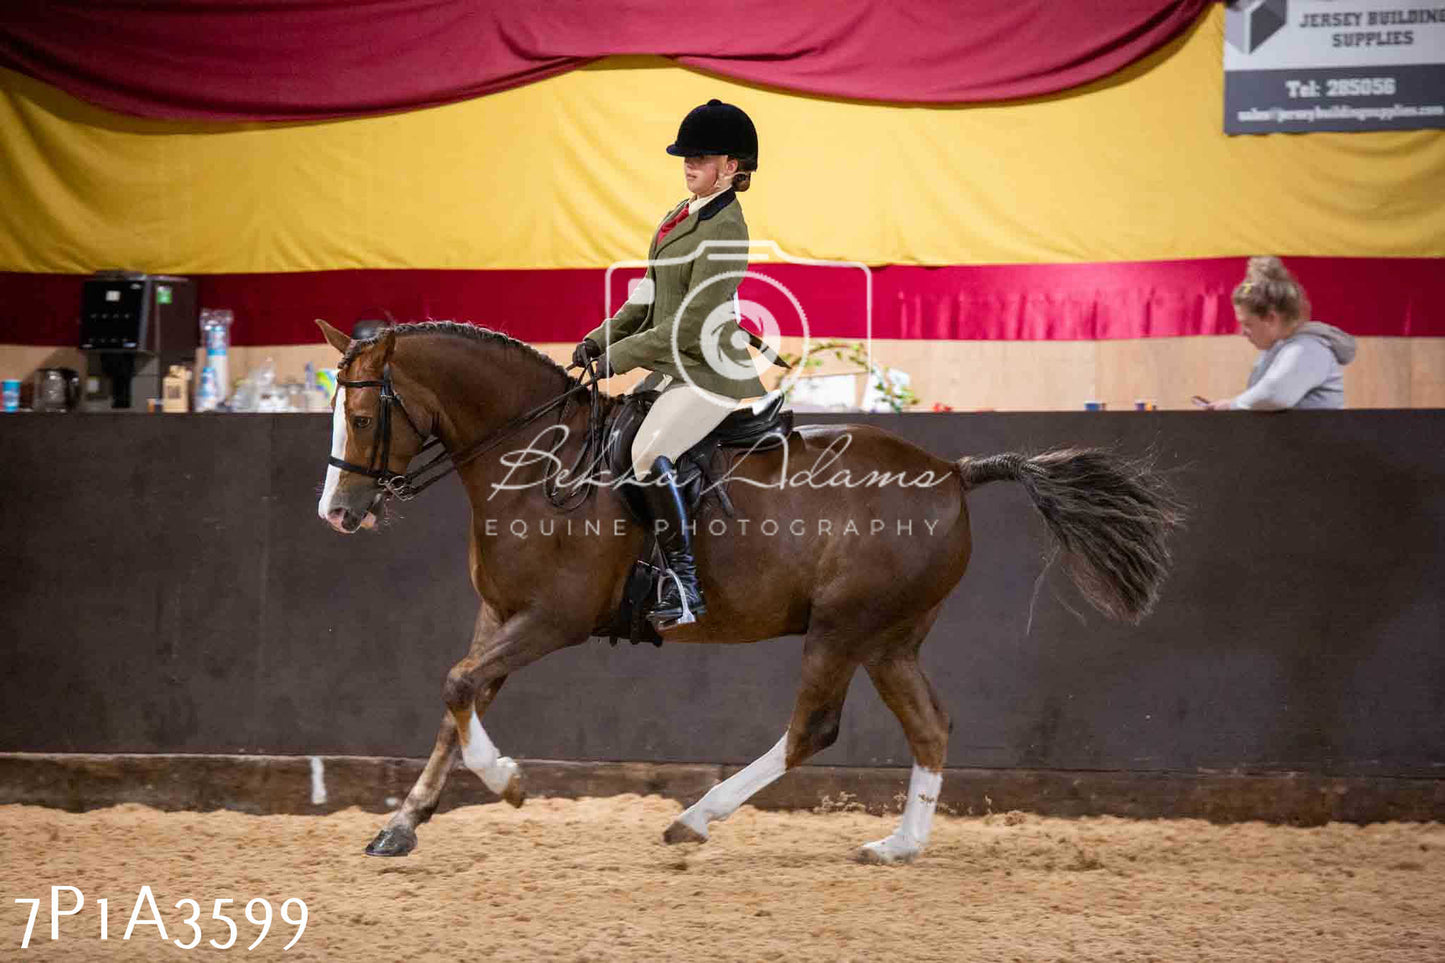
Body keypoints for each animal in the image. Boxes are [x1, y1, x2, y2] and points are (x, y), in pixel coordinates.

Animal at [313, 321, 1173, 861]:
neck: (535, 459)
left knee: (812, 729)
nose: (338, 513)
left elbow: (461, 686)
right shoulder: (497, 611)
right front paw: (403, 823)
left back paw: (695, 818)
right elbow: (457, 700)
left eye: (362, 414)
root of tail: (951, 472)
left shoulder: (553, 617)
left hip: (841, 629)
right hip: (888, 637)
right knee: (929, 725)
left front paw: (511, 782)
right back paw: (897, 845)